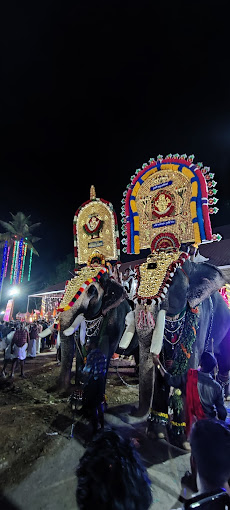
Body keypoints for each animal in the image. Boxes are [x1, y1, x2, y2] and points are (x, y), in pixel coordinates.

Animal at [119, 255, 230, 430]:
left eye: (167, 282)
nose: (130, 413)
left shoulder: (200, 316)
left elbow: (189, 361)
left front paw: (182, 425)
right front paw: (157, 422)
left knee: (224, 361)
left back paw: (224, 399)